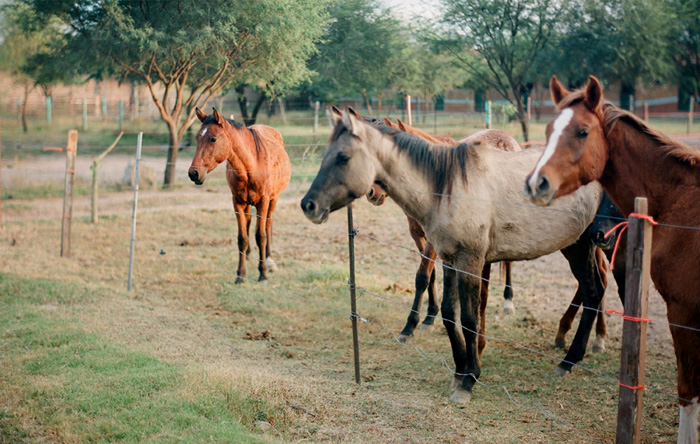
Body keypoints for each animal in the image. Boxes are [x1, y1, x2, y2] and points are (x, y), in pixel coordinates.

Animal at [187, 106, 292, 280]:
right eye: (197, 138)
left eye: (213, 139)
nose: (193, 173)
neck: (252, 165)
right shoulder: (237, 202)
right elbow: (242, 238)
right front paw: (240, 275)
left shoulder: (263, 202)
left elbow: (261, 236)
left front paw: (262, 274)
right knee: (249, 223)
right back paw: (248, 255)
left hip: (273, 200)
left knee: (268, 225)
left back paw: (269, 260)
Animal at [524, 74, 700, 442]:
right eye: (547, 130)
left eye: (582, 132)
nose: (536, 183)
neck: (681, 199)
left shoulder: (683, 309)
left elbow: (688, 391)